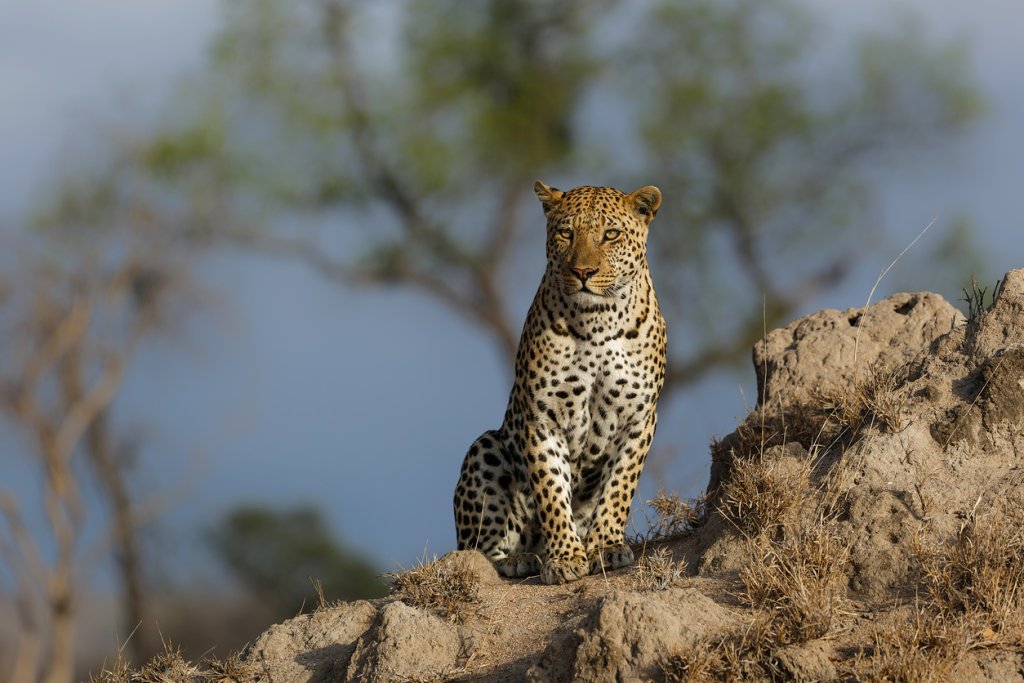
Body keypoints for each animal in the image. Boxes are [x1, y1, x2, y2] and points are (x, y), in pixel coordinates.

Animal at [454, 181, 663, 589]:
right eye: (566, 233)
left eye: (610, 234)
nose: (582, 271)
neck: (598, 321)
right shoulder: (541, 417)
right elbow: (551, 489)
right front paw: (565, 558)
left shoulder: (640, 416)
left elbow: (619, 485)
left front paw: (605, 547)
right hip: (485, 447)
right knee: (478, 550)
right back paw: (521, 559)